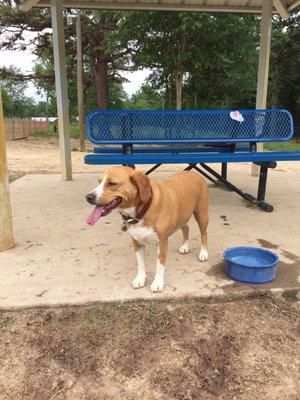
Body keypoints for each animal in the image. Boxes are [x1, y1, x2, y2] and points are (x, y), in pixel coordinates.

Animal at [85, 166, 209, 294]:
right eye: (99, 182)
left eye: (112, 183)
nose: (88, 197)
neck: (142, 211)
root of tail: (193, 173)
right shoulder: (137, 242)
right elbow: (141, 264)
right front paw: (140, 279)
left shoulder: (162, 242)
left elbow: (160, 265)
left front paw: (158, 283)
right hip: (182, 216)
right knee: (186, 228)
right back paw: (185, 246)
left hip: (202, 215)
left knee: (204, 234)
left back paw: (203, 253)